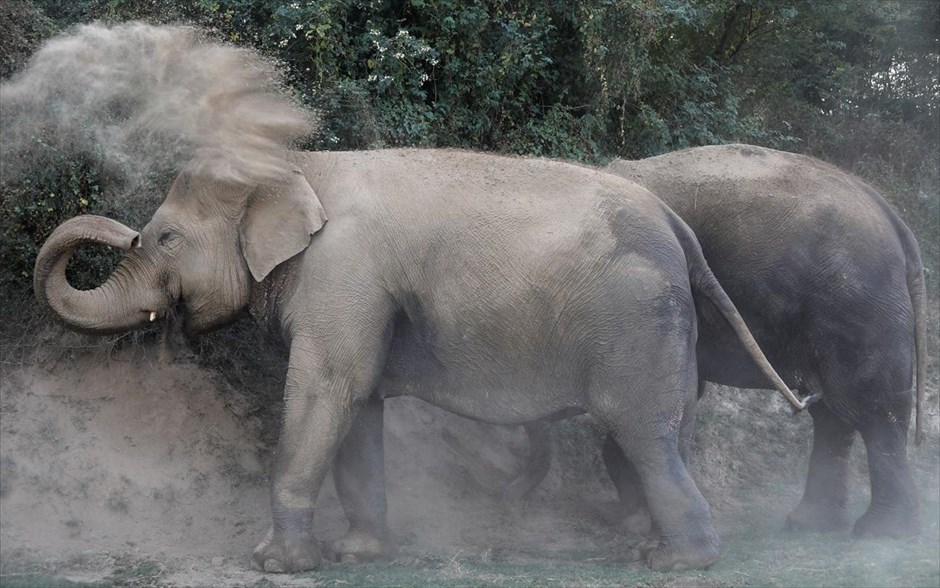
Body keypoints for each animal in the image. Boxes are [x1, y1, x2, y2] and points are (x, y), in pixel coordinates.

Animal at [33, 148, 804, 576]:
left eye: (164, 238)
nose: (121, 229)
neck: (297, 166)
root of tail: (678, 226)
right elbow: (359, 405)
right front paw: (360, 555)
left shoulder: (343, 272)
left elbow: (326, 391)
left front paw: (278, 565)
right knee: (664, 433)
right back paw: (648, 549)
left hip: (635, 322)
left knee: (644, 432)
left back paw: (677, 563)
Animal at [506, 145, 924, 540]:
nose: (509, 490)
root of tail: (893, 216)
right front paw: (636, 520)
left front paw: (635, 524)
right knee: (834, 412)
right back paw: (811, 524)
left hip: (859, 306)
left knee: (874, 409)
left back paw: (881, 533)